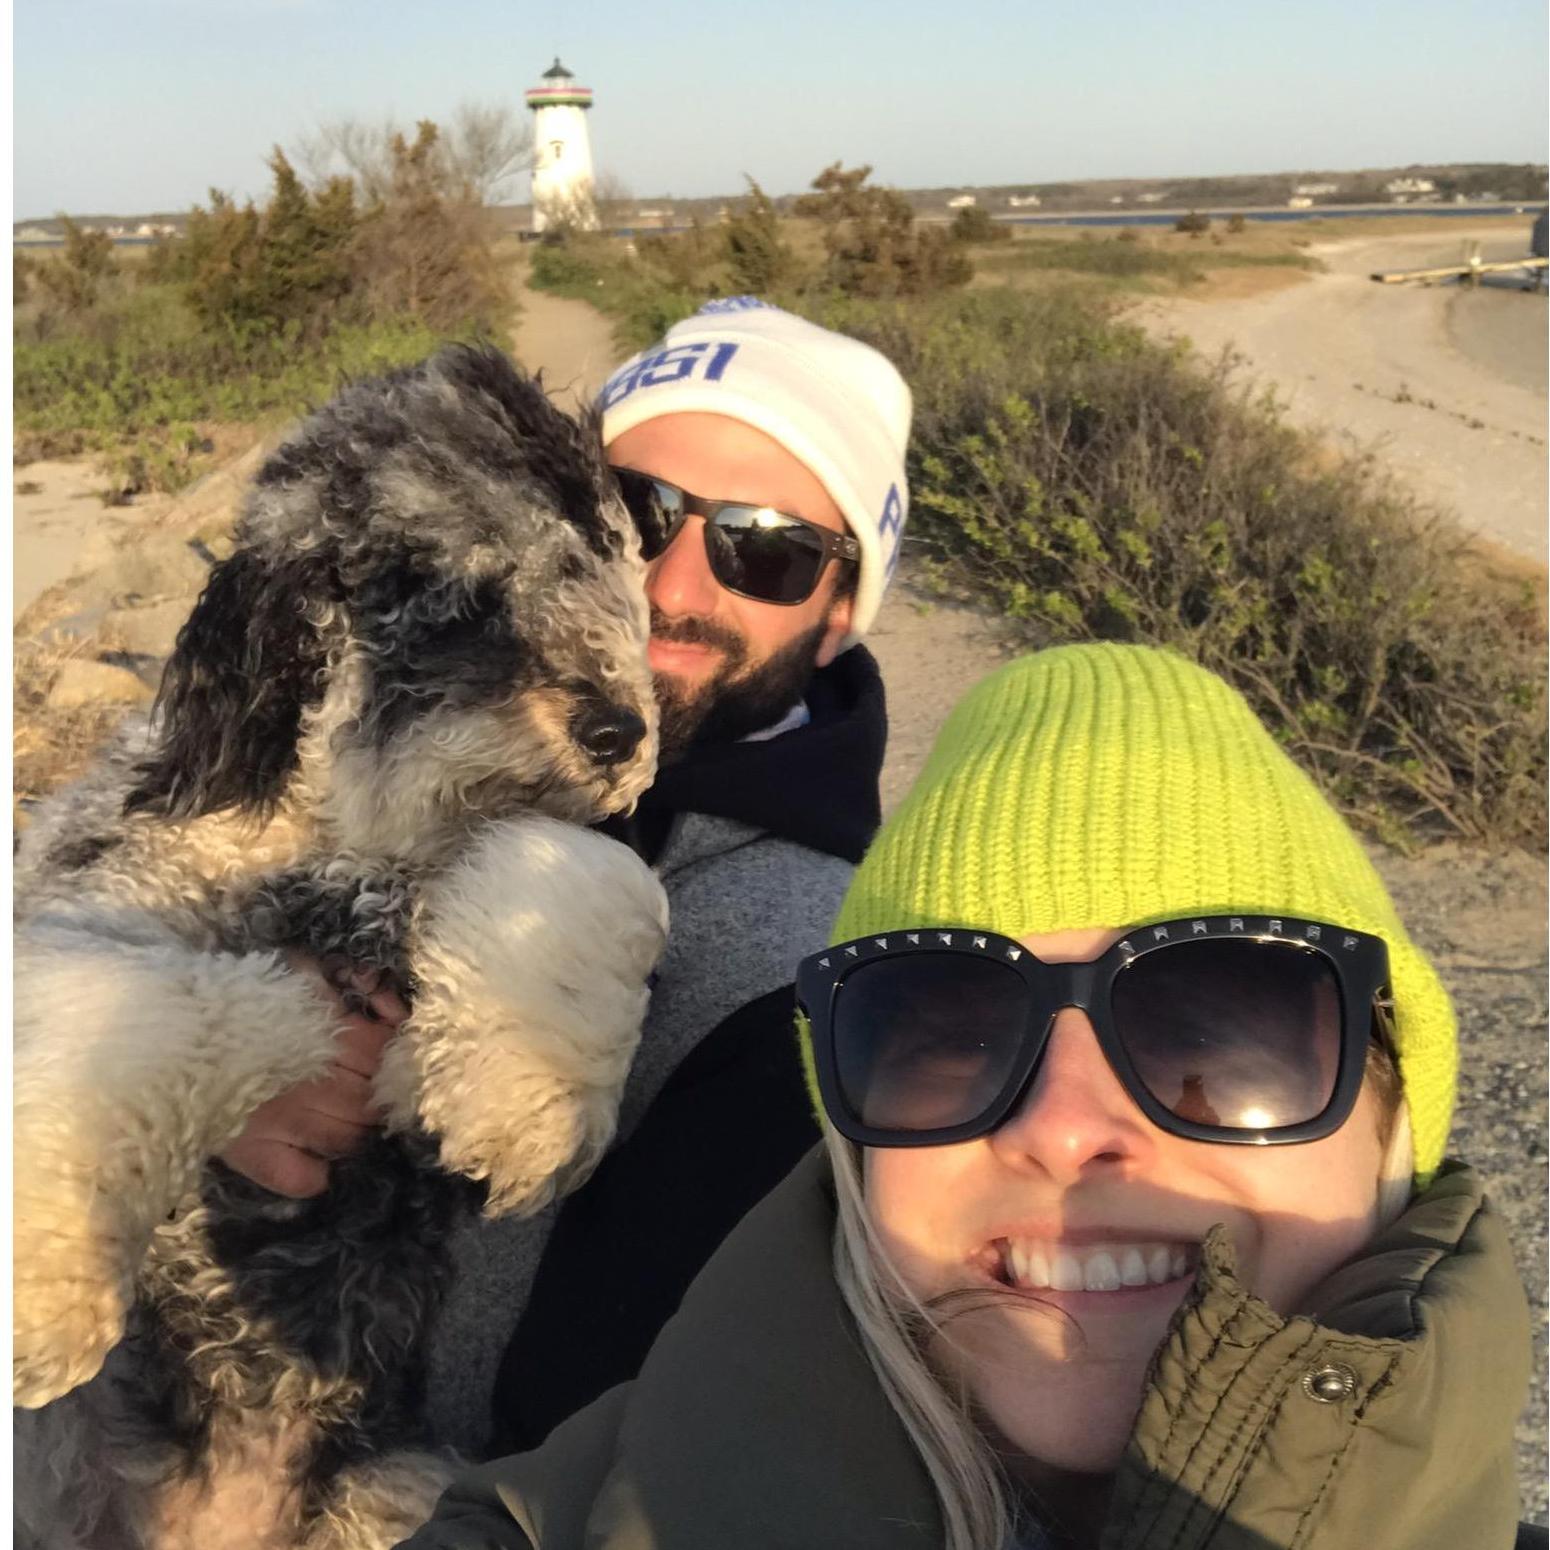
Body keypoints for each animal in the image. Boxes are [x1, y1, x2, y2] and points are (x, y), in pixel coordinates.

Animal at [10, 345, 672, 1550]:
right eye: (447, 596)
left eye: (590, 567)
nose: (621, 730)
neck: (334, 840)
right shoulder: (85, 908)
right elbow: (171, 1006)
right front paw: (48, 1281)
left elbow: (590, 876)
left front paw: (520, 1096)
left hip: (394, 1487)